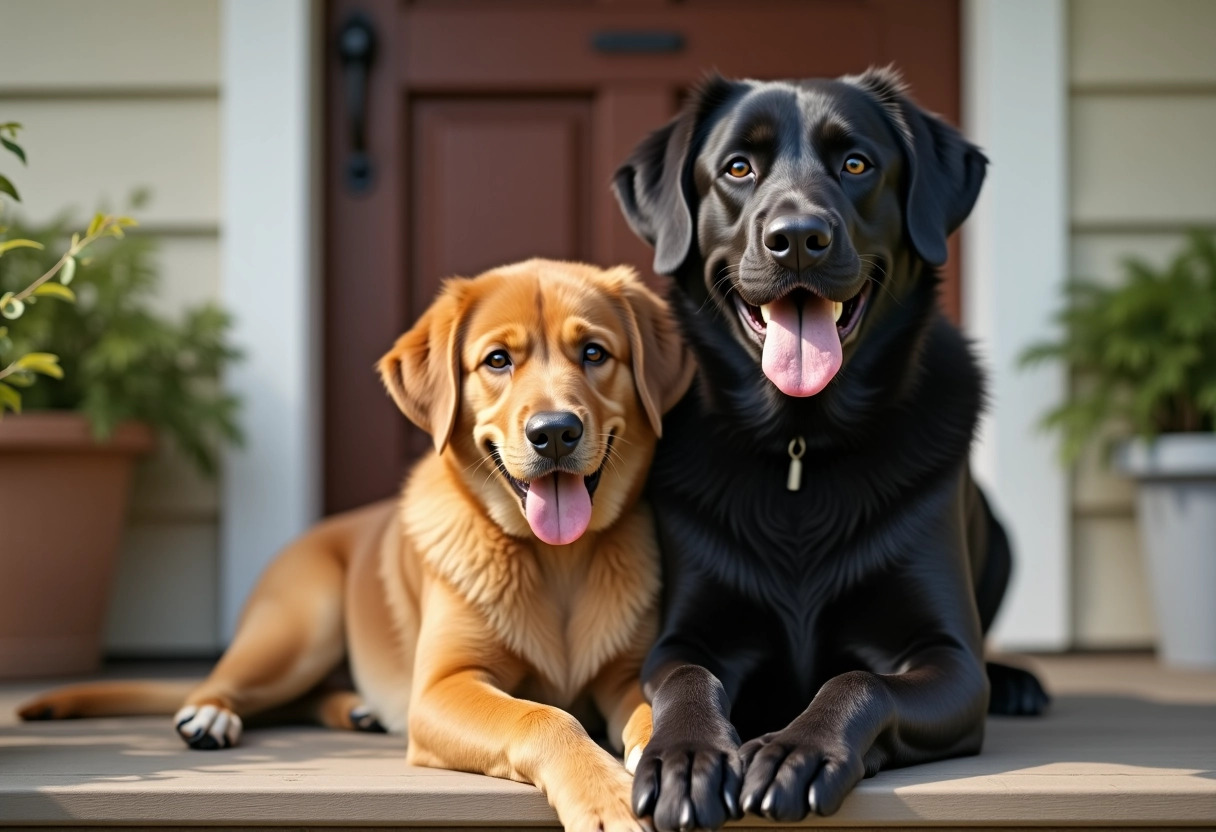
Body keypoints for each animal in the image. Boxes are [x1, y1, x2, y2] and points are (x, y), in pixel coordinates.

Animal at [16, 257, 695, 832]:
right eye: (498, 360)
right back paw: (211, 715)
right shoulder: (442, 688)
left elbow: (649, 710)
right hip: (300, 625)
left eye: (594, 353)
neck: (557, 561)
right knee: (219, 685)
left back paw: (356, 709)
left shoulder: (629, 672)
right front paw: (605, 796)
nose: (554, 432)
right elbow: (545, 716)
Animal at [612, 68, 1050, 827]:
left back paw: (1020, 682)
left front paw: (796, 750)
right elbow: (687, 679)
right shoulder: (685, 638)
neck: (802, 442)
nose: (797, 238)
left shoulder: (948, 658)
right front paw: (686, 758)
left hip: (999, 537)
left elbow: (860, 679)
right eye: (738, 168)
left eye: (856, 164)